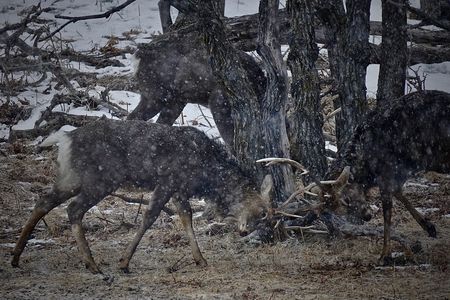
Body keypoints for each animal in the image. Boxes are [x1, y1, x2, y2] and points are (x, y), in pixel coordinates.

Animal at [11, 118, 270, 274]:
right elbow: (150, 217)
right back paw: (92, 264)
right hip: (101, 179)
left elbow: (186, 217)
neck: (206, 174)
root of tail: (64, 139)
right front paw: (124, 262)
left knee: (44, 201)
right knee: (73, 208)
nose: (245, 231)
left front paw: (200, 259)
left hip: (73, 177)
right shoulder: (168, 180)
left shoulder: (179, 188)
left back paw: (16, 256)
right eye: (261, 212)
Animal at [318, 90, 448, 264]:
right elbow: (398, 192)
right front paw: (428, 226)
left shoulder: (388, 171)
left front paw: (384, 255)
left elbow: (387, 213)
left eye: (346, 199)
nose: (366, 216)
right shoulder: (396, 173)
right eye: (338, 210)